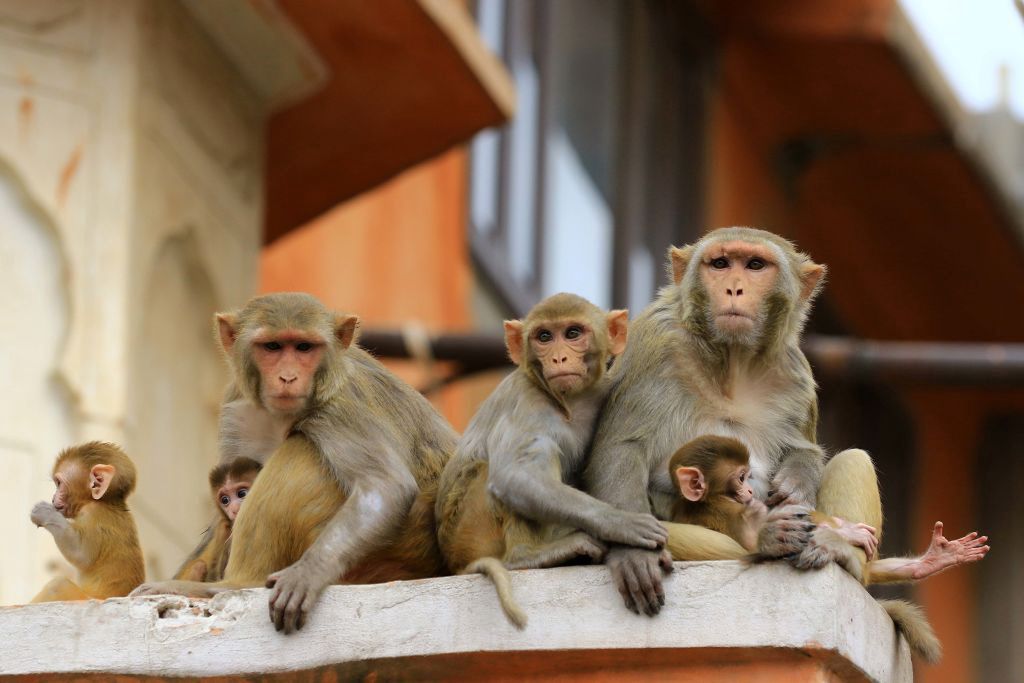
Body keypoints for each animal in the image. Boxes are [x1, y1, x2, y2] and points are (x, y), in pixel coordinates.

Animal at [29, 440, 145, 602]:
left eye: (59, 483)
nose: (53, 498)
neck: (105, 502)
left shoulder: (93, 513)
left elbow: (81, 555)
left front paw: (45, 513)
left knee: (58, 585)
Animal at [134, 290, 454, 634]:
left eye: (304, 347)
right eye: (273, 347)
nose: (288, 377)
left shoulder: (340, 406)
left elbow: (385, 487)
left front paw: (309, 572)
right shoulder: (237, 406)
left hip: (402, 548)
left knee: (301, 447)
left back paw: (228, 587)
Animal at [436, 290, 667, 626]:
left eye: (572, 333)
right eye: (544, 337)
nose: (558, 358)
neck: (571, 402)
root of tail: (455, 561)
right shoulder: (526, 400)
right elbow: (514, 477)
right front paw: (621, 524)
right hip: (470, 530)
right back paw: (527, 555)